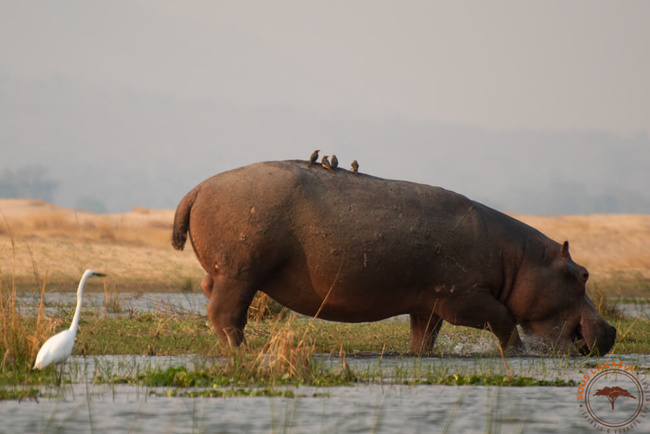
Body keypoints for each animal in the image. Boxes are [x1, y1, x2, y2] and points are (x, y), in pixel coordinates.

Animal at [171, 160, 612, 356]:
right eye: (582, 274)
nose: (610, 330)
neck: (520, 259)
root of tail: (196, 188)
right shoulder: (462, 297)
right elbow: (502, 318)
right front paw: (518, 353)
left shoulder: (429, 301)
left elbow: (424, 333)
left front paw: (419, 356)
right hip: (240, 274)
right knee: (226, 314)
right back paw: (241, 350)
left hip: (225, 273)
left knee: (213, 299)